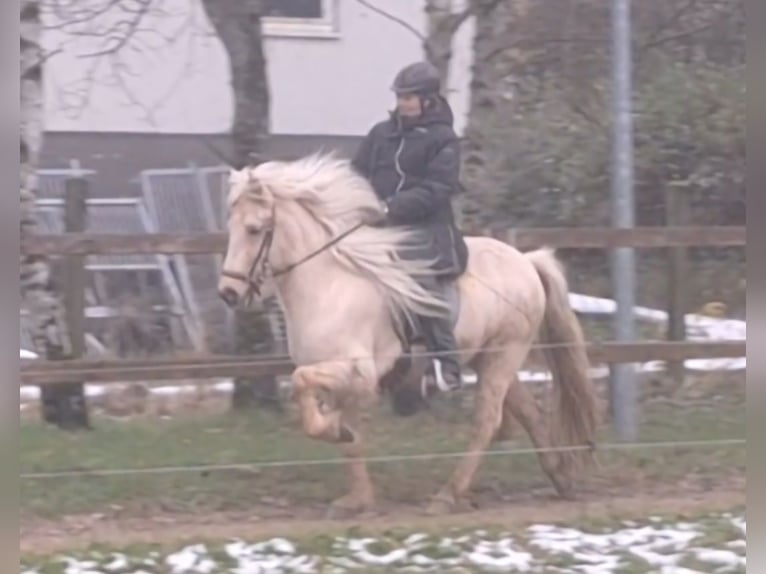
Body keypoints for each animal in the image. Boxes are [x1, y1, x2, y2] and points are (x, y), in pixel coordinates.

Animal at [216, 152, 600, 516]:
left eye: (254, 229)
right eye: (231, 227)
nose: (228, 294)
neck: (330, 283)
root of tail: (526, 261)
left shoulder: (359, 371)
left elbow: (304, 390)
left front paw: (336, 430)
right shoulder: (340, 377)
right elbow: (348, 437)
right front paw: (357, 499)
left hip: (505, 354)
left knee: (487, 422)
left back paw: (448, 495)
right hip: (489, 358)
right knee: (525, 412)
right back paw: (560, 476)